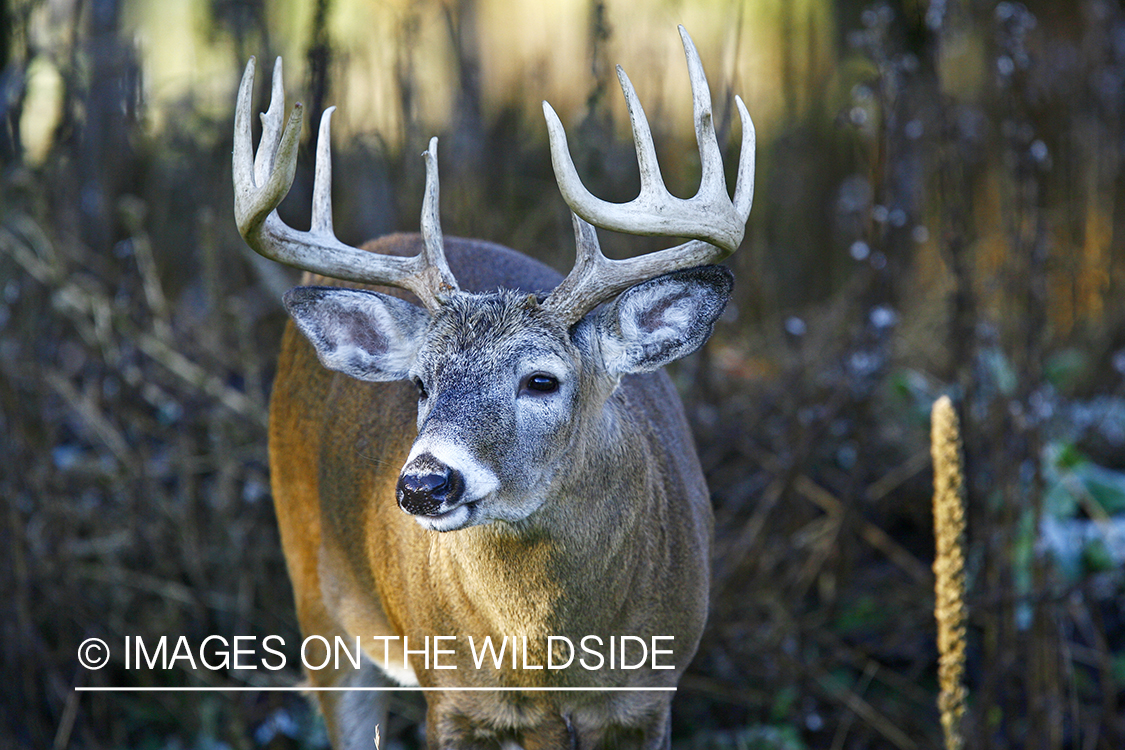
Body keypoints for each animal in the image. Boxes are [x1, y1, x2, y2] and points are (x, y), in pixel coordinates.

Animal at [231, 24, 751, 750]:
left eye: (541, 380)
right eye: (420, 383)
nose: (424, 483)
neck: (553, 660)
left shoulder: (648, 698)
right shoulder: (454, 696)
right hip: (315, 596)